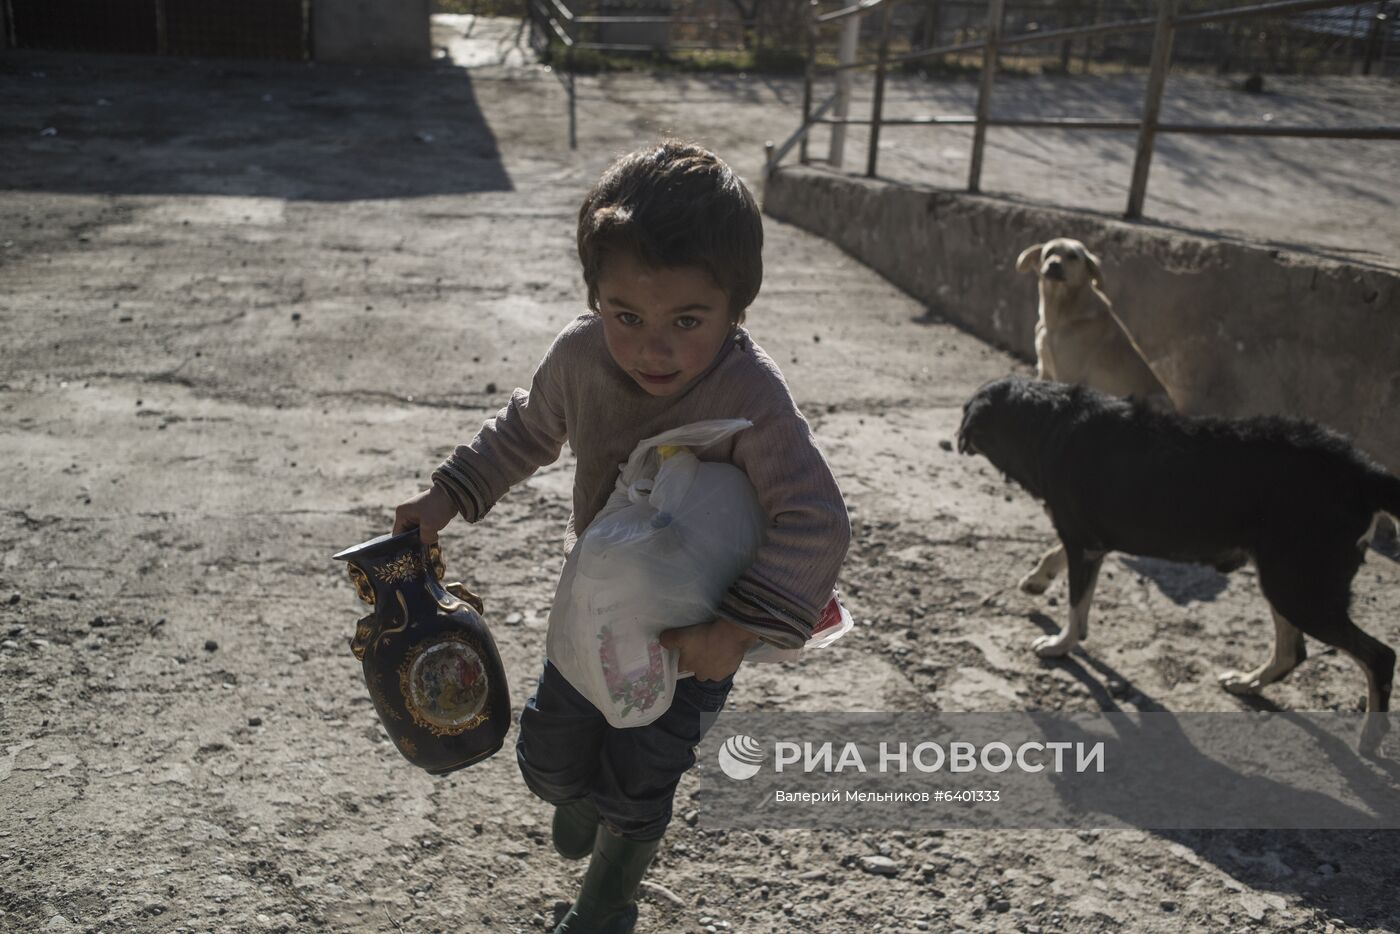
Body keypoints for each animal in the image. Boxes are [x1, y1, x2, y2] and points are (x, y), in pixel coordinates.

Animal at [957, 375, 1394, 756]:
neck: (1049, 420)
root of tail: (1363, 473)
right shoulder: (1087, 540)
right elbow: (1056, 556)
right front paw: (1038, 579)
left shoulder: (1084, 543)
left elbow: (1076, 606)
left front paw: (1061, 644)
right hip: (1286, 577)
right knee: (1292, 651)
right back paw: (1250, 682)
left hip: (1298, 587)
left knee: (1380, 656)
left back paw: (1371, 735)